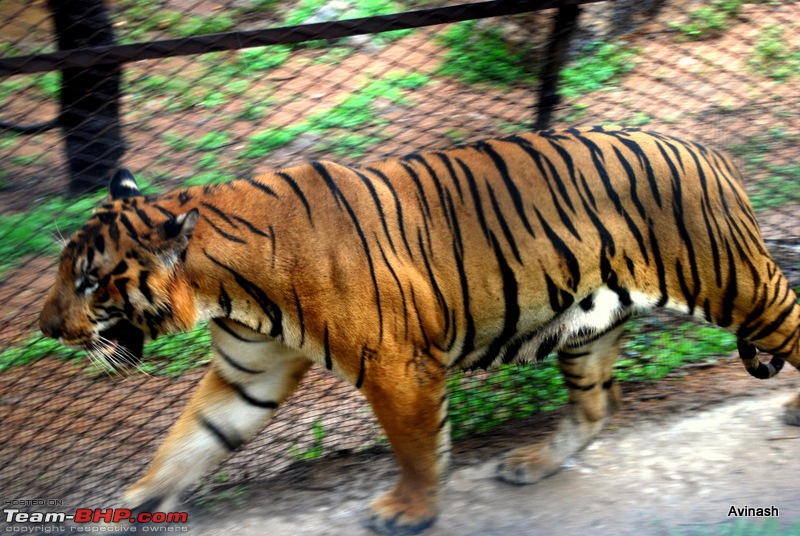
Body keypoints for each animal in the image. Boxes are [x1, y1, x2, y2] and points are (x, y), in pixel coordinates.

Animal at [39, 127, 800, 532]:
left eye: (90, 282)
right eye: (65, 274)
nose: (46, 328)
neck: (223, 290)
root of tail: (710, 152)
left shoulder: (397, 365)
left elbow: (414, 447)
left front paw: (409, 509)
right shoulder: (248, 372)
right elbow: (189, 443)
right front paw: (133, 503)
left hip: (739, 287)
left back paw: (792, 409)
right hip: (587, 327)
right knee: (598, 406)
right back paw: (531, 464)